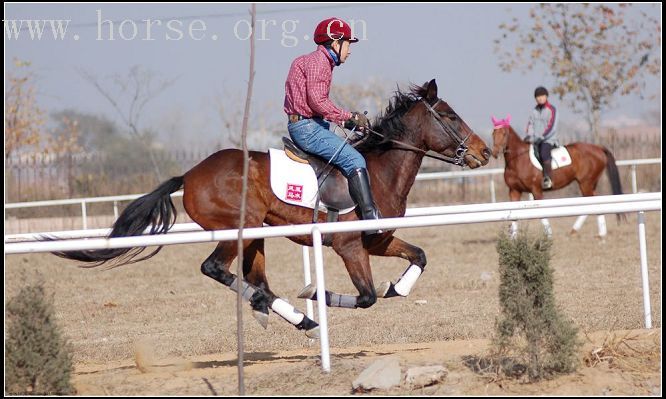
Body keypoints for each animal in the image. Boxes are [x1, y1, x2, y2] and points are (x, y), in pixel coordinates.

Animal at [50, 79, 488, 340]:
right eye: (450, 115)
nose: (484, 152)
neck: (378, 170)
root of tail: (189, 174)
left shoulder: (377, 242)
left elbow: (420, 257)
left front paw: (397, 286)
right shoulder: (349, 246)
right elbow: (366, 298)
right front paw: (317, 292)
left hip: (256, 235)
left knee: (256, 281)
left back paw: (288, 315)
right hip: (238, 229)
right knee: (216, 269)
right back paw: (296, 315)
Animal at [488, 115, 624, 239]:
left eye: (504, 133)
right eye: (493, 133)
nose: (494, 152)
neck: (517, 160)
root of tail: (598, 148)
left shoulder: (536, 190)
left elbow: (541, 213)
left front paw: (548, 235)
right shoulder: (514, 191)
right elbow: (514, 214)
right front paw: (514, 239)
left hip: (586, 183)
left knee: (592, 203)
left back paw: (592, 233)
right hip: (590, 183)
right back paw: (587, 232)